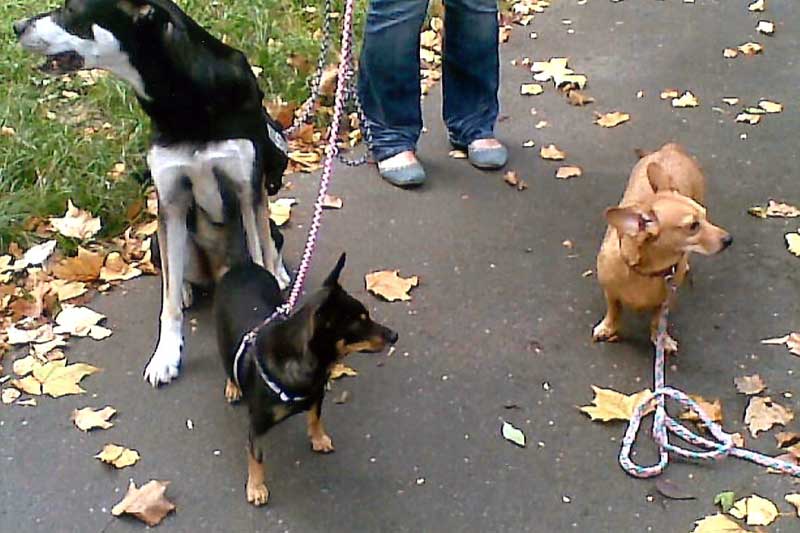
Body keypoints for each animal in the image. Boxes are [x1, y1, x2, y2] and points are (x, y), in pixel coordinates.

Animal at [14, 0, 292, 386]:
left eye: (72, 10)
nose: (15, 26)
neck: (184, 100)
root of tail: (218, 271)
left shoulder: (247, 188)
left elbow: (261, 255)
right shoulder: (171, 204)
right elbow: (169, 303)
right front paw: (166, 356)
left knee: (269, 243)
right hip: (159, 243)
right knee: (175, 274)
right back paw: (189, 288)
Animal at [213, 175, 398, 505]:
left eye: (368, 316)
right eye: (359, 324)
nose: (394, 335)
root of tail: (240, 265)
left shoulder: (317, 396)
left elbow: (315, 416)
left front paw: (319, 437)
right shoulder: (256, 426)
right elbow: (256, 456)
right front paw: (256, 487)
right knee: (227, 364)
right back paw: (233, 386)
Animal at [593, 143, 732, 352]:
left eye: (705, 216)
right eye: (693, 226)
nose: (729, 239)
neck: (646, 271)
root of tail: (670, 148)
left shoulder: (666, 300)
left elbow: (657, 320)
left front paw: (661, 339)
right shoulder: (610, 292)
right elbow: (614, 309)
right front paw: (608, 327)